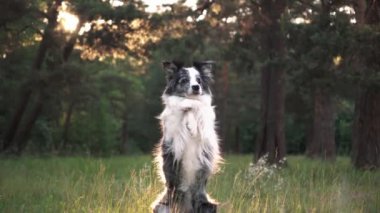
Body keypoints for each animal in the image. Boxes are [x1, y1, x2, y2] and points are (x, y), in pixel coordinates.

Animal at [153, 60, 221, 212]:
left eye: (199, 80)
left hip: (207, 206)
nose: (196, 87)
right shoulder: (174, 141)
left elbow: (199, 107)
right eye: (184, 80)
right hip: (163, 206)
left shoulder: (207, 136)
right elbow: (184, 104)